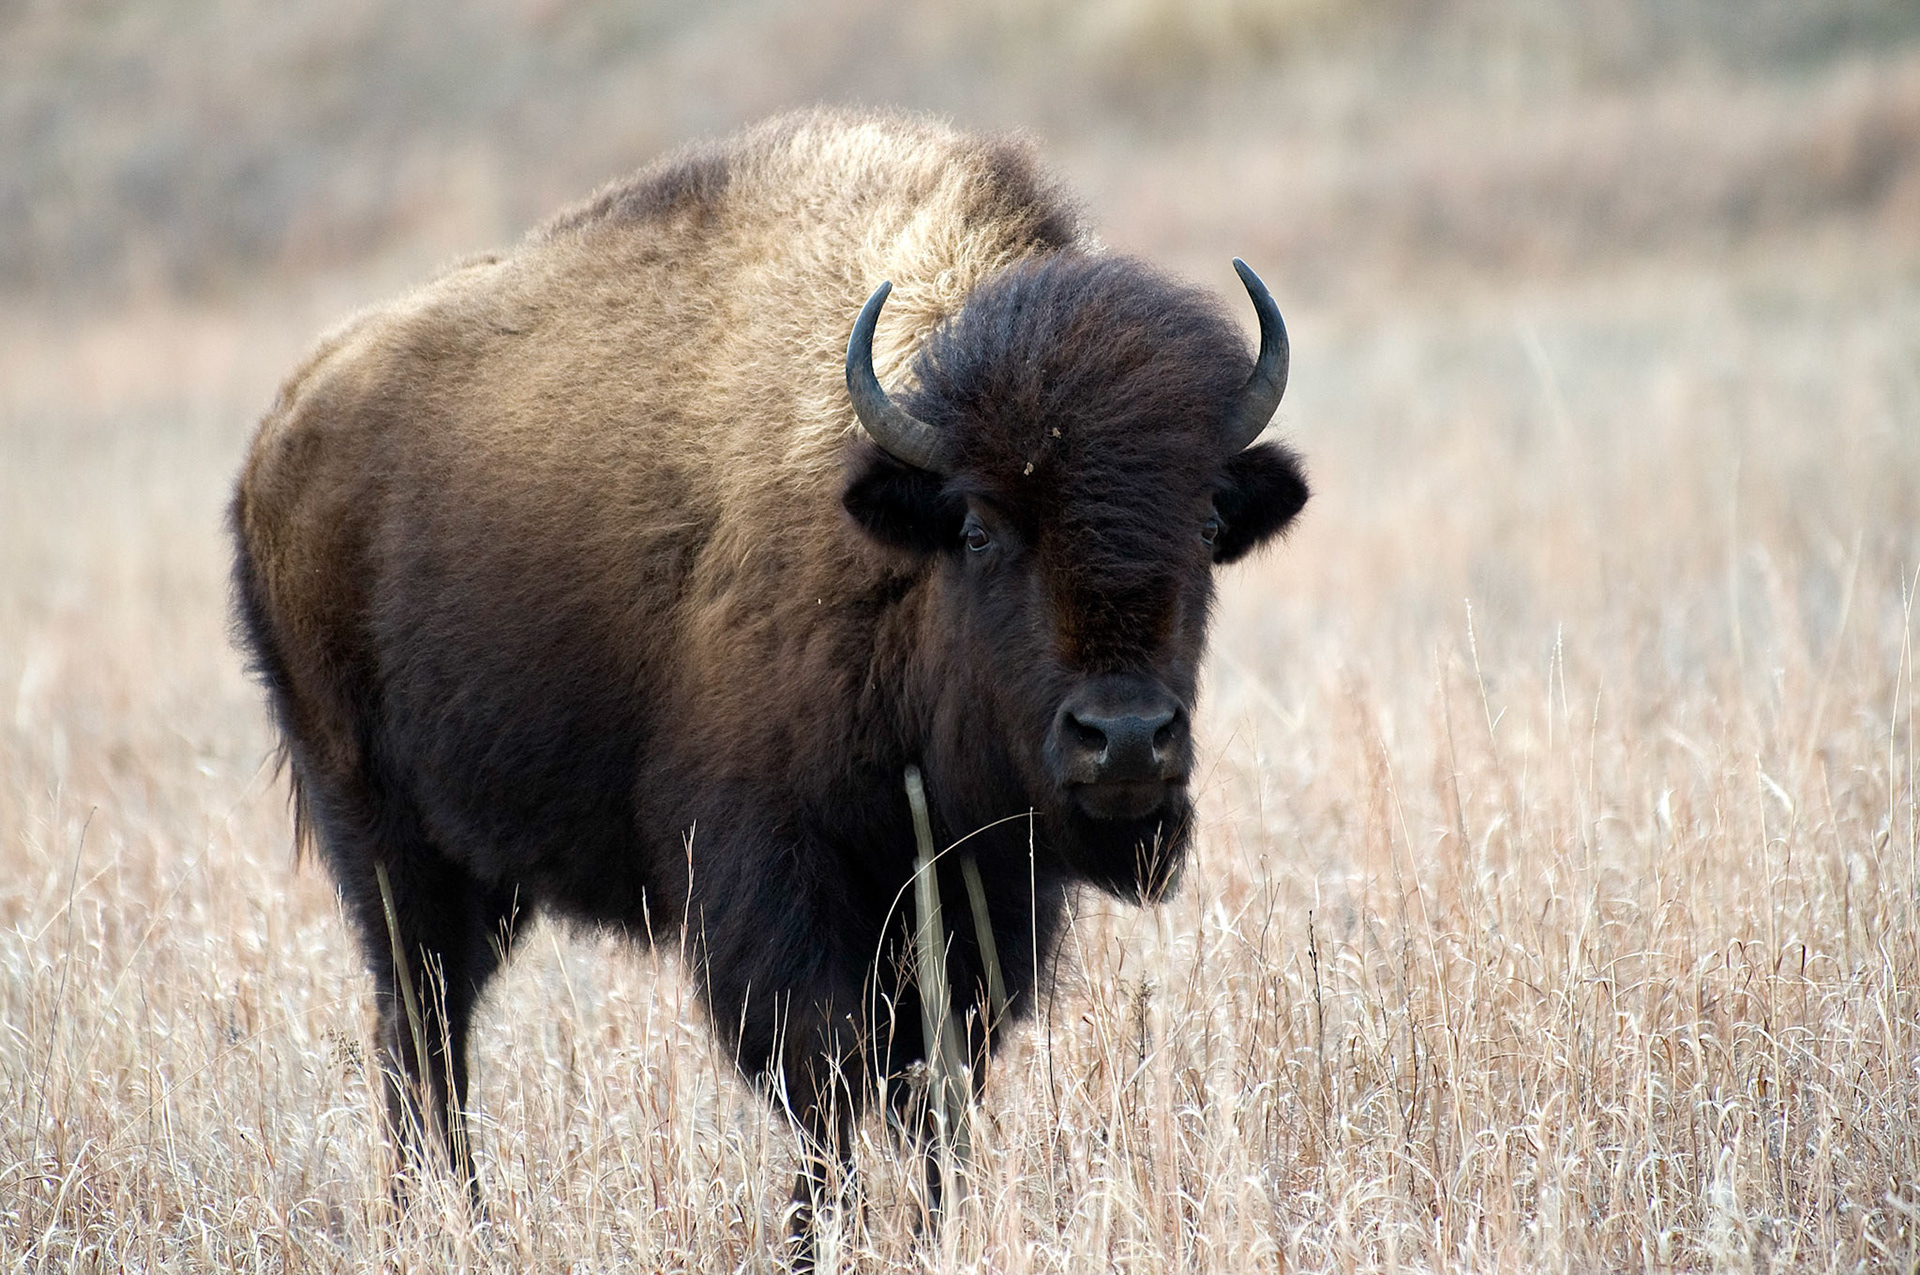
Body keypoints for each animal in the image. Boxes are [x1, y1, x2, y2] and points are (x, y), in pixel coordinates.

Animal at [230, 108, 1308, 1256]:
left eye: (1207, 522)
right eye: (978, 527)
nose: (1128, 739)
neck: (891, 551)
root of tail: (277, 439)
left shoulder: (980, 895)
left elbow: (939, 1083)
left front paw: (930, 1231)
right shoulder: (772, 883)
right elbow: (827, 1074)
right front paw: (812, 1241)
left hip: (484, 870)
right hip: (383, 836)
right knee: (424, 1029)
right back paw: (448, 1222)